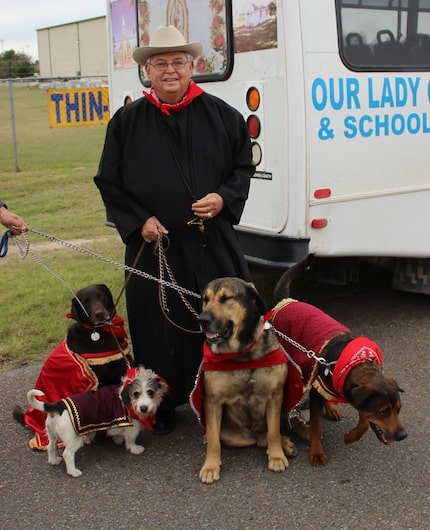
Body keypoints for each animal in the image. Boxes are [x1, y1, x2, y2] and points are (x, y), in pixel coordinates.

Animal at [26, 368, 169, 474]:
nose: (143, 408)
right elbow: (130, 441)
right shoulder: (132, 429)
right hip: (73, 439)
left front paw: (117, 439)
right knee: (68, 454)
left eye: (150, 392)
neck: (126, 400)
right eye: (136, 393)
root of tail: (59, 405)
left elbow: (118, 434)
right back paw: (73, 472)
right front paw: (135, 449)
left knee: (50, 447)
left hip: (52, 434)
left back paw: (54, 460)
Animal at [191, 276, 298, 482]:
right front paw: (210, 466)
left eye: (226, 298)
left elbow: (274, 432)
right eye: (205, 299)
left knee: (270, 432)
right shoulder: (212, 401)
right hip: (235, 435)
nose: (202, 320)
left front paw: (276, 456)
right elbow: (213, 441)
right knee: (254, 439)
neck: (241, 356)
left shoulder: (275, 395)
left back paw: (284, 444)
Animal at [272, 254, 406, 464]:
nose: (402, 436)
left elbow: (364, 422)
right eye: (384, 411)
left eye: (399, 409)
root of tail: (287, 300)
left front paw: (351, 437)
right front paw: (316, 452)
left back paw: (331, 408)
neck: (356, 365)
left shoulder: (356, 395)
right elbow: (316, 425)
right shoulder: (319, 389)